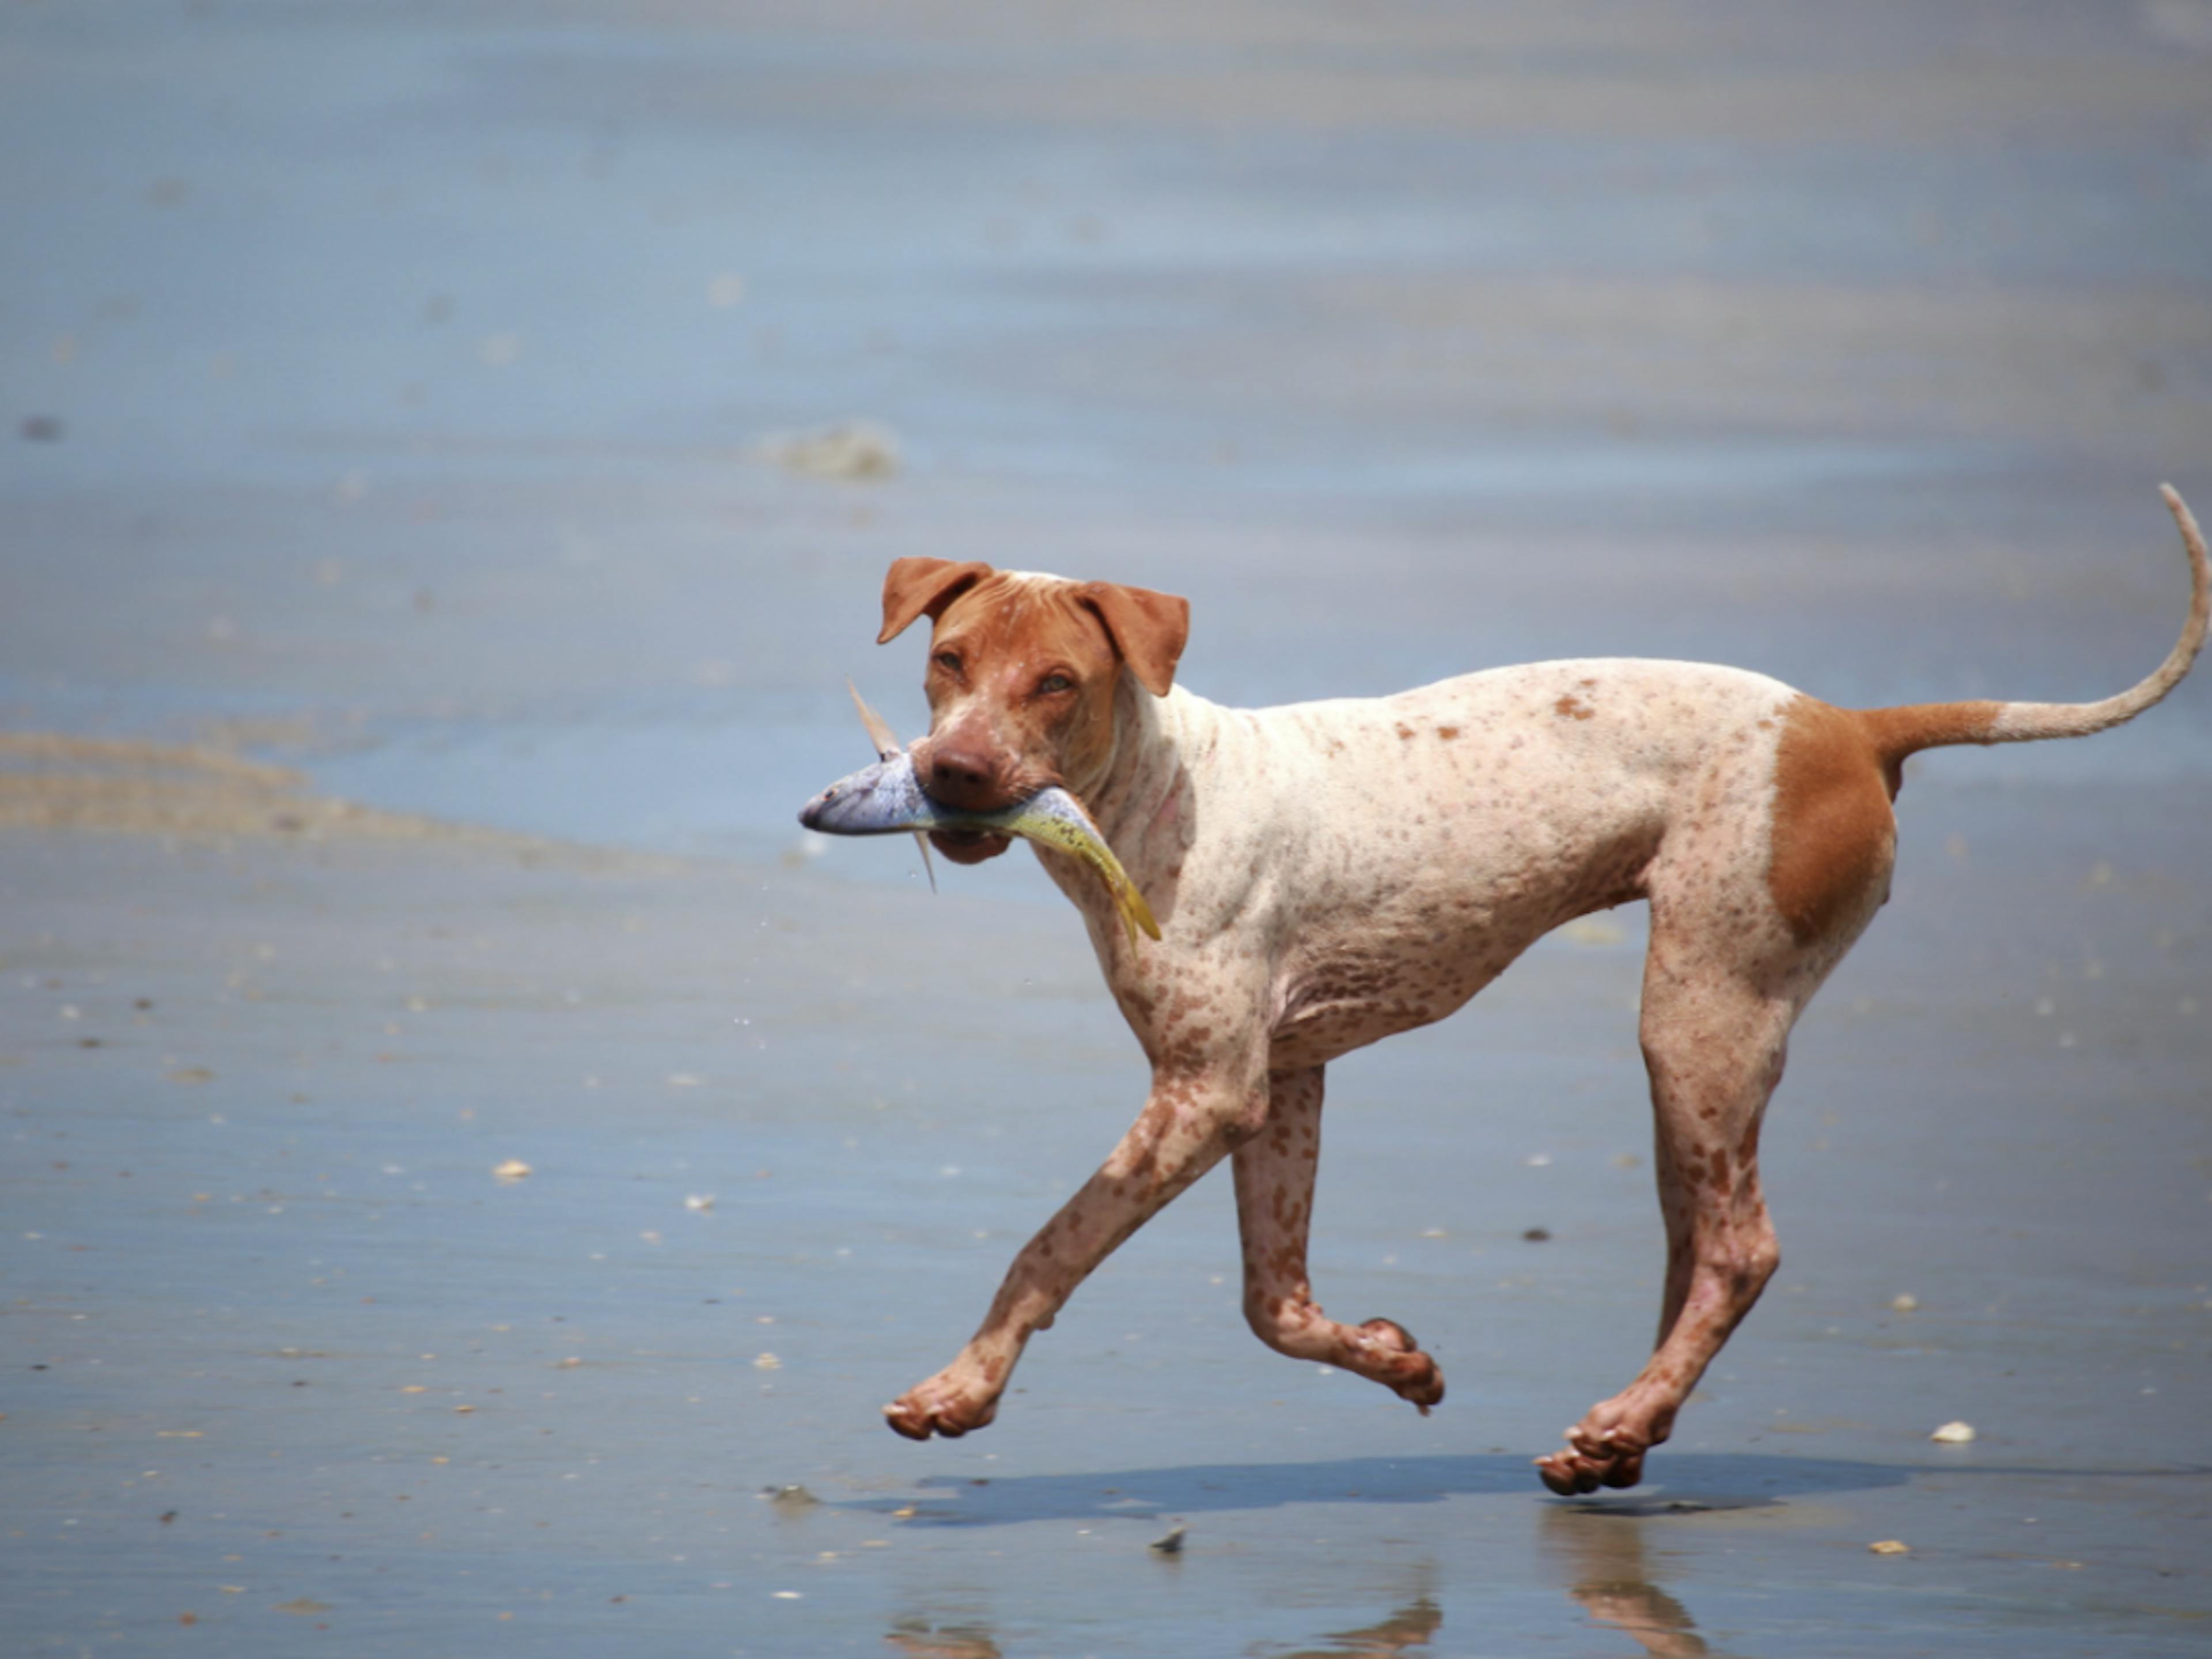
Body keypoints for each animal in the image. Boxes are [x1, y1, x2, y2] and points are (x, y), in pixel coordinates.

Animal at [858, 486, 2194, 1504]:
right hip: (1697, 1060)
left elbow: (1054, 1243)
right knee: (1695, 1246)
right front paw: (1396, 1363)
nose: (951, 769)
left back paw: (1628, 1419)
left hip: (1702, 1017)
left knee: (1743, 1249)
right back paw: (1624, 1439)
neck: (1161, 793)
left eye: (1058, 683)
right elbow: (1273, 1302)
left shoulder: (1206, 1093)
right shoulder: (1280, 1084)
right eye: (947, 660)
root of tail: (1852, 727)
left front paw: (960, 1389)